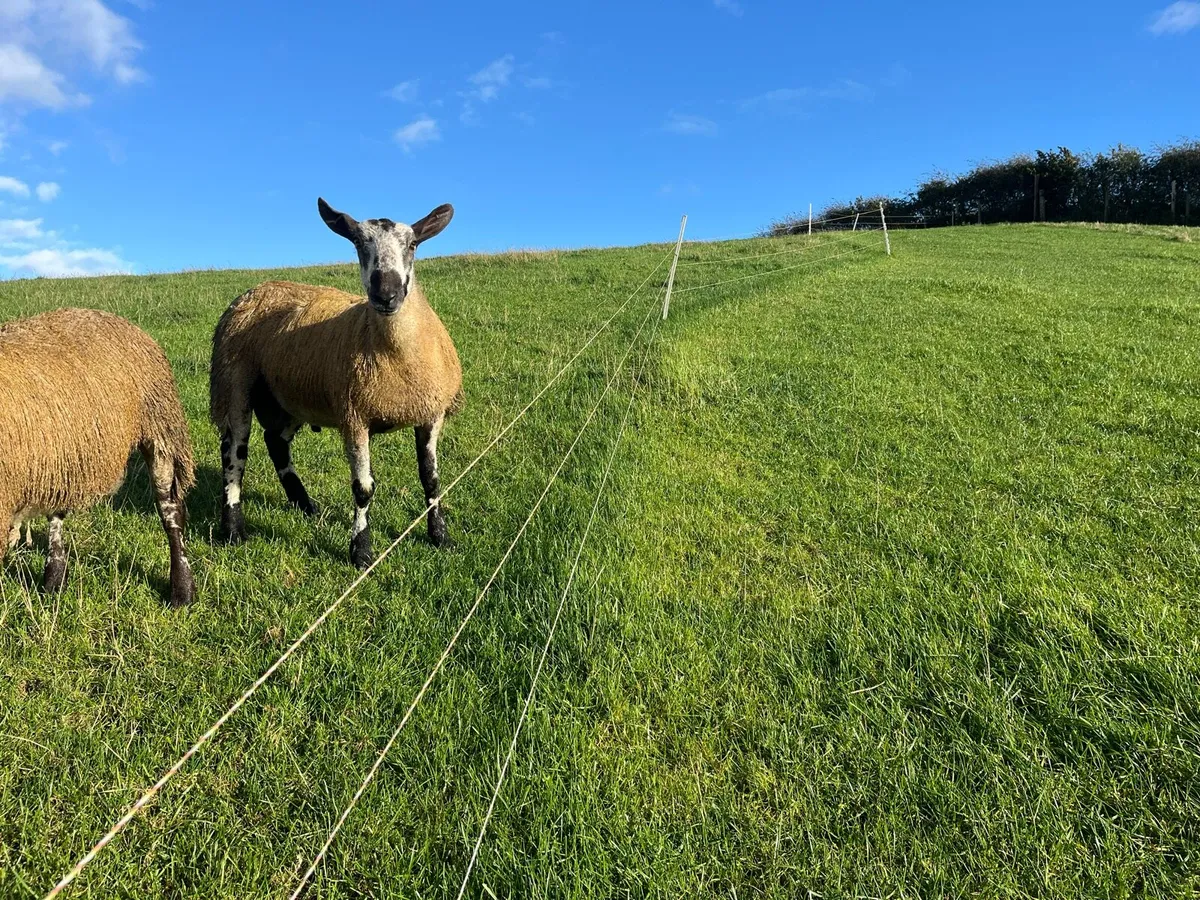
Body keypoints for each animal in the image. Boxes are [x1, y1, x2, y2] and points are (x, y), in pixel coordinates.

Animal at [0, 308, 196, 605]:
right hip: (67, 454)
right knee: (57, 515)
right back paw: (54, 581)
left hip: (160, 426)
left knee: (170, 511)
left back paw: (182, 591)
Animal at [209, 198, 461, 568]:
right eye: (357, 242)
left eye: (413, 244)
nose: (386, 294)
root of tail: (258, 288)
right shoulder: (354, 416)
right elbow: (364, 489)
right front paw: (361, 552)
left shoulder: (431, 413)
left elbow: (431, 479)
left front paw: (440, 536)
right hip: (234, 383)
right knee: (234, 453)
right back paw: (233, 529)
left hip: (291, 396)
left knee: (276, 442)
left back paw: (304, 504)